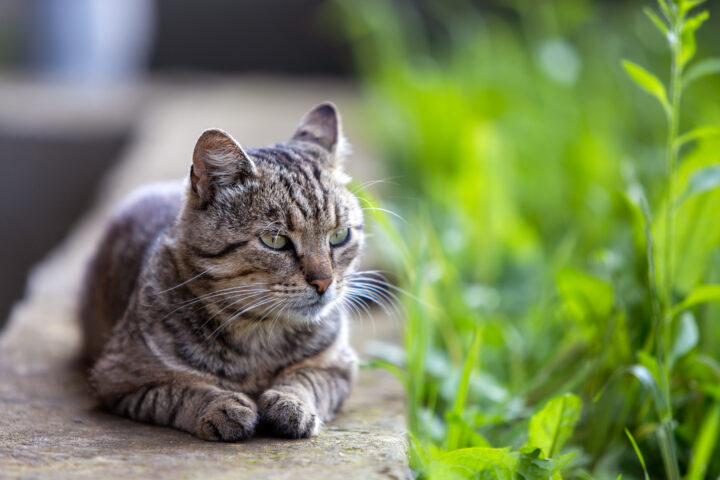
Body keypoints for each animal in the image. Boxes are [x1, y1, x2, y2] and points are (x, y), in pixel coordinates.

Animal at [81, 103, 368, 440]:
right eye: (275, 240)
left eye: (339, 236)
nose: (324, 282)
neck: (259, 335)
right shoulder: (119, 377)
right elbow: (180, 390)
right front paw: (223, 406)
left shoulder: (338, 366)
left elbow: (307, 380)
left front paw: (291, 403)